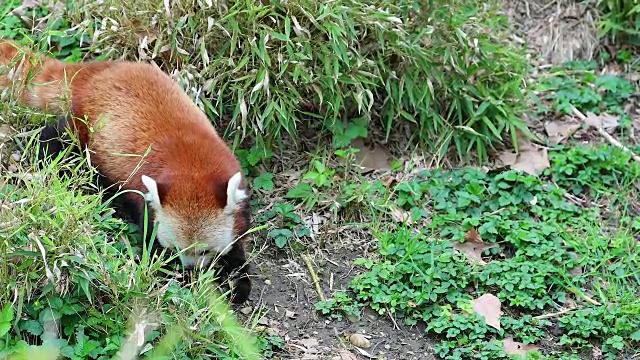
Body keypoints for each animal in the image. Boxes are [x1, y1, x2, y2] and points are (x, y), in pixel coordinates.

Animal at [1, 39, 254, 304]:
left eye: (205, 250)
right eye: (175, 249)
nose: (191, 268)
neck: (191, 167)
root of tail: (94, 70)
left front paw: (238, 277)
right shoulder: (146, 198)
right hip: (84, 126)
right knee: (57, 136)